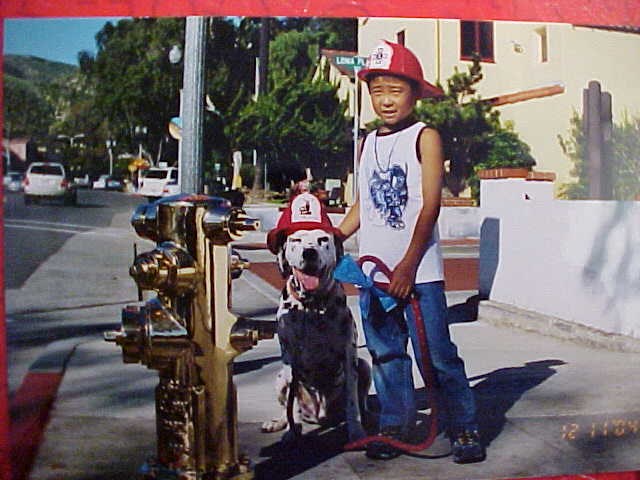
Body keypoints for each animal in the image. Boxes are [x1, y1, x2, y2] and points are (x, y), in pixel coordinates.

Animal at [260, 229, 370, 442]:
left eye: (323, 239)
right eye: (295, 240)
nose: (309, 252)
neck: (312, 306)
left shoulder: (349, 354)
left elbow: (352, 400)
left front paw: (356, 431)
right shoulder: (289, 358)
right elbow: (291, 401)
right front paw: (291, 431)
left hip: (364, 366)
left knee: (362, 400)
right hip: (279, 377)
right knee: (285, 407)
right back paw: (278, 422)